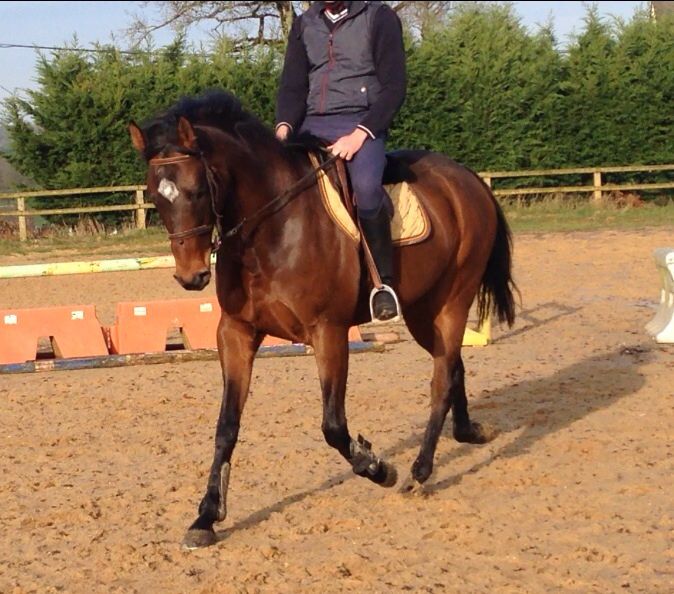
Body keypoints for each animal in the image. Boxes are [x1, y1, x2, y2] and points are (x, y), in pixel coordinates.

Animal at [128, 90, 517, 549]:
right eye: (155, 197)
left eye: (197, 189)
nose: (191, 277)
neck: (273, 228)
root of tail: (468, 179)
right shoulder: (237, 332)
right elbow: (227, 425)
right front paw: (206, 516)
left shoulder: (328, 332)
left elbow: (333, 425)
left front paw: (378, 467)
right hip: (424, 312)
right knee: (453, 365)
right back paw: (468, 432)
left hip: (452, 302)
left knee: (441, 380)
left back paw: (418, 473)